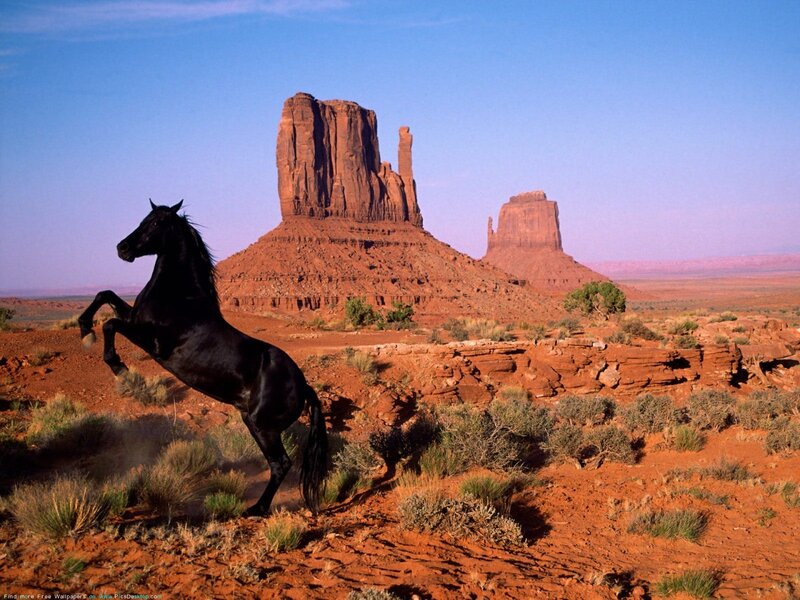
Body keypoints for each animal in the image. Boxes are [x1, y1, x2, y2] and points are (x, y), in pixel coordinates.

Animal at [78, 200, 328, 516]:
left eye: (157, 223)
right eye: (144, 218)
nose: (122, 248)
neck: (179, 298)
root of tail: (303, 385)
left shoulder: (154, 343)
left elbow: (110, 324)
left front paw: (116, 365)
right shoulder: (135, 319)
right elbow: (105, 295)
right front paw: (84, 327)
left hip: (263, 426)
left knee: (280, 464)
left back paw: (255, 509)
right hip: (253, 421)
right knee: (278, 464)